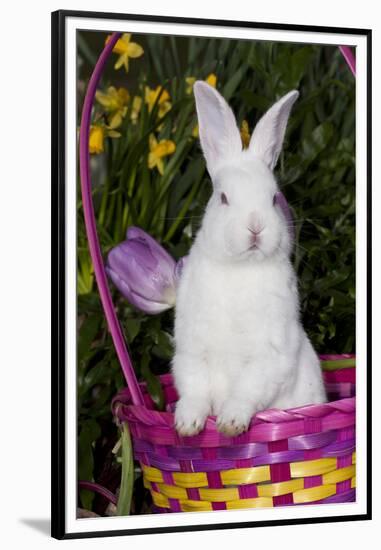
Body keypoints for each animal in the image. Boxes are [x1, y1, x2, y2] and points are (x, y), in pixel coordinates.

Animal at [174, 82, 326, 438]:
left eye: (273, 198)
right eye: (223, 198)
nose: (255, 226)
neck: (240, 267)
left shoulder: (269, 354)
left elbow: (246, 391)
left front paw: (230, 424)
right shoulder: (191, 350)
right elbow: (194, 388)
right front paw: (186, 425)